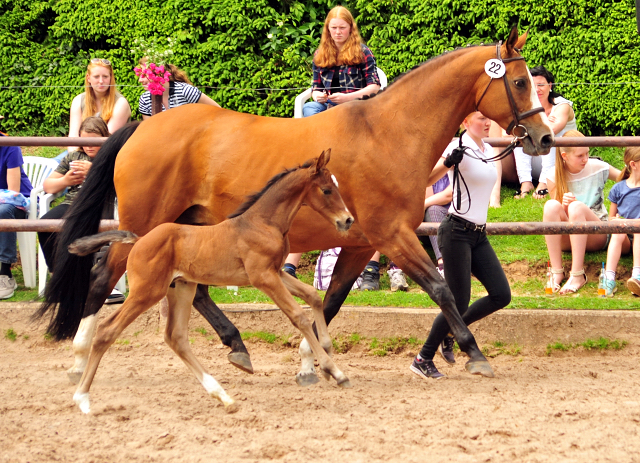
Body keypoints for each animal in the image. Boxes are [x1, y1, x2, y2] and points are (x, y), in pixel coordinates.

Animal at [67, 151, 352, 414]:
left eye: (337, 186)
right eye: (327, 190)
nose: (347, 220)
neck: (262, 223)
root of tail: (138, 240)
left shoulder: (277, 272)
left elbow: (313, 296)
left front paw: (327, 355)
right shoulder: (263, 277)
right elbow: (298, 316)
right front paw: (333, 370)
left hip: (181, 288)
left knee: (176, 337)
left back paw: (223, 396)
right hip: (147, 291)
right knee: (107, 330)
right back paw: (82, 398)